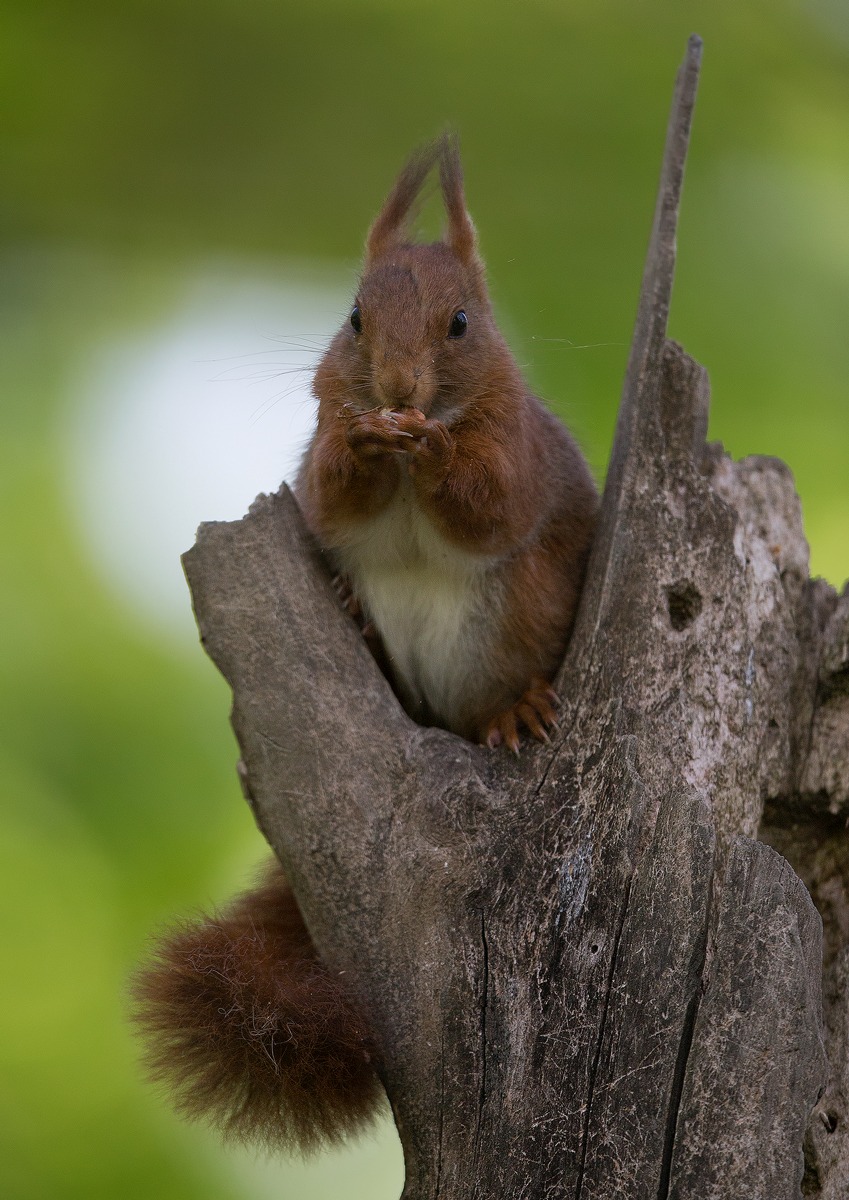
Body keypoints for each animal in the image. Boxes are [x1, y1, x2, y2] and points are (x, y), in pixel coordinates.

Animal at [132, 134, 598, 1155]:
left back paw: (516, 708)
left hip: (520, 620)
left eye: (460, 323)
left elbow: (489, 505)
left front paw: (432, 452)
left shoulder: (516, 454)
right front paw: (361, 442)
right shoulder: (319, 456)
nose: (395, 392)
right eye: (352, 317)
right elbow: (332, 494)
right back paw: (351, 611)